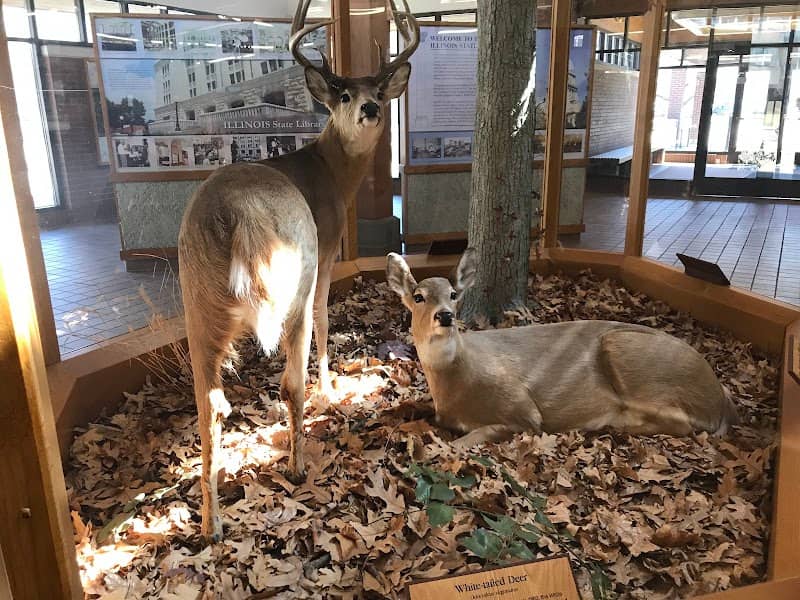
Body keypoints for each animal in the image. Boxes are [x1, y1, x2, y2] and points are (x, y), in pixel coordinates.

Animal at [178, 0, 419, 541]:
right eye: (345, 94)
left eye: (378, 92)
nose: (370, 109)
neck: (328, 173)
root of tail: (240, 214)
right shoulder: (329, 249)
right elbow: (330, 318)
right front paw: (331, 389)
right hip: (295, 281)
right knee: (289, 379)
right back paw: (296, 464)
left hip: (195, 295)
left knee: (208, 404)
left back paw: (212, 523)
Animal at [386, 249, 739, 448]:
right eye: (418, 296)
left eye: (453, 294)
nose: (445, 315)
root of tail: (720, 398)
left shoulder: (523, 409)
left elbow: (466, 441)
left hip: (626, 351)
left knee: (682, 423)